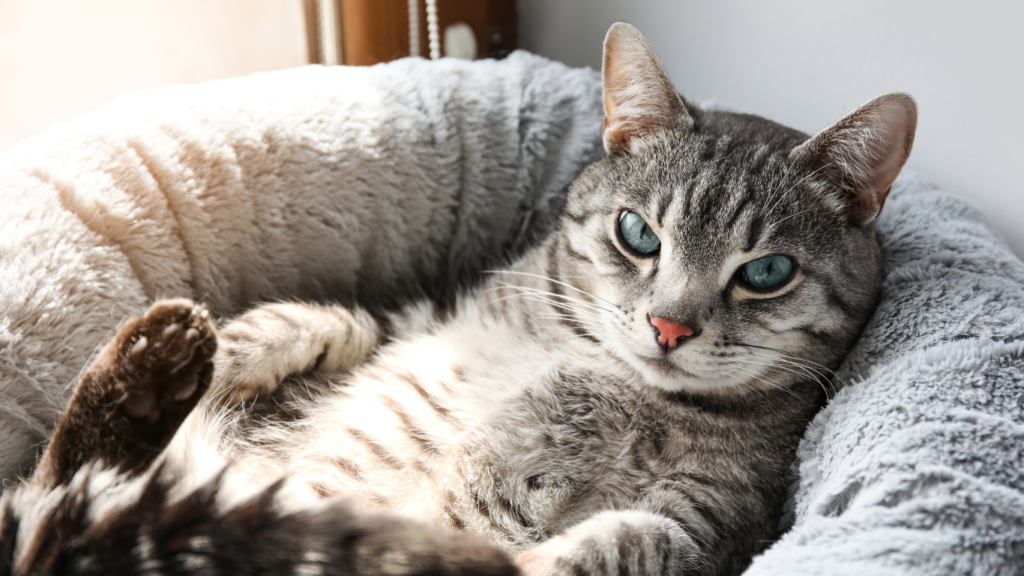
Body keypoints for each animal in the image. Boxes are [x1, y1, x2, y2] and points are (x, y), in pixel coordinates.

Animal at [0, 22, 913, 573]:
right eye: (638, 233)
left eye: (765, 273)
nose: (668, 325)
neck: (598, 375)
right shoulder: (417, 323)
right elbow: (339, 320)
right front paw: (231, 348)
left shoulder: (716, 527)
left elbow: (625, 541)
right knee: (55, 481)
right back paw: (158, 357)